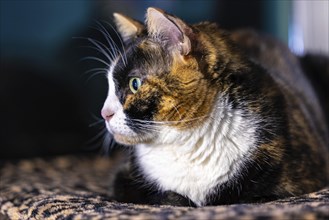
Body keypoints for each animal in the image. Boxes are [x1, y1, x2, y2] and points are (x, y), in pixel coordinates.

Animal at [100, 7, 328, 206]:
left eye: (135, 84)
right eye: (109, 84)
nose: (104, 114)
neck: (187, 143)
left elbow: (248, 198)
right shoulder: (122, 180)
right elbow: (164, 197)